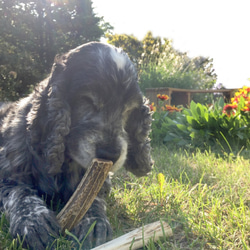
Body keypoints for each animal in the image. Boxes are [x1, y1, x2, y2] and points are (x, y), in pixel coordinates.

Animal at [0, 42, 152, 249]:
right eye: (87, 100)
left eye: (129, 109)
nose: (110, 155)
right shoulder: (7, 176)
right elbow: (19, 193)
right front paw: (34, 222)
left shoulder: (99, 179)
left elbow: (92, 198)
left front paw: (94, 224)